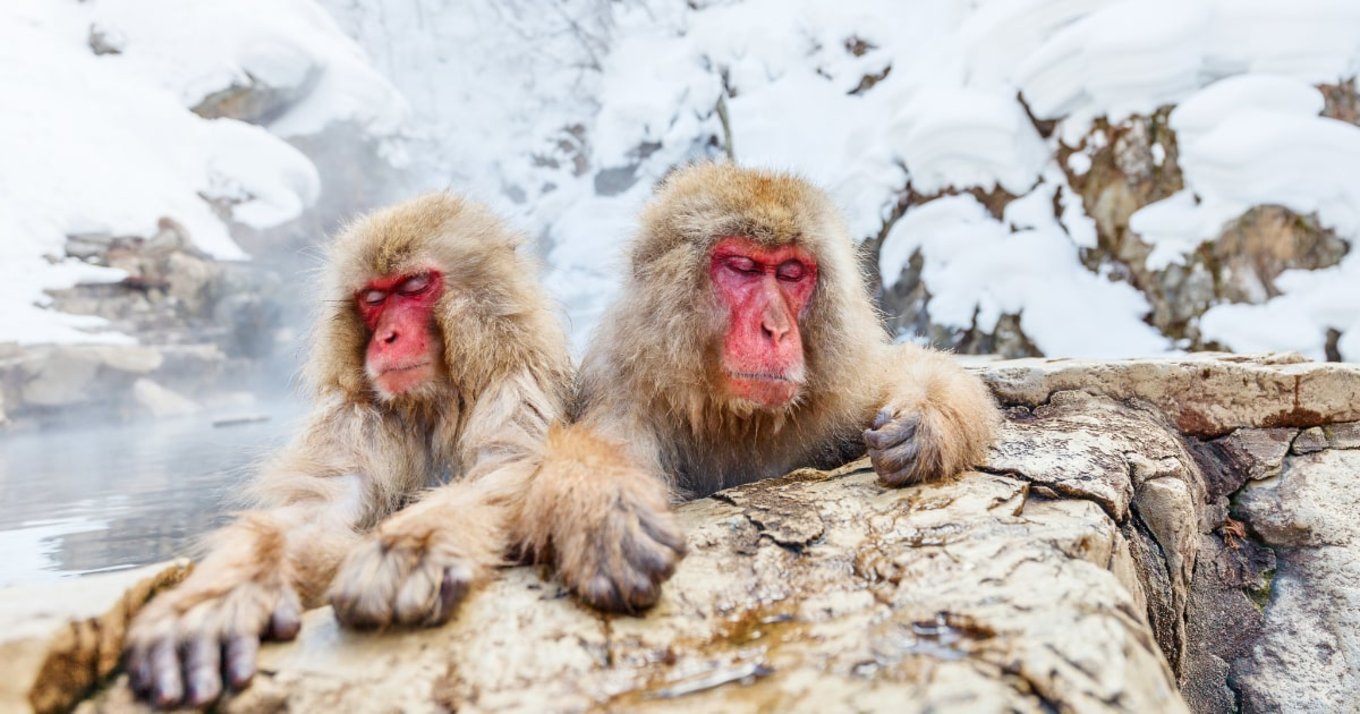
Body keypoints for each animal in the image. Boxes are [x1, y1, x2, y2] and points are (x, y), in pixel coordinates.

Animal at [124, 193, 571, 708]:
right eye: (373, 299)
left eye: (414, 286)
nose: (387, 338)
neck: (433, 402)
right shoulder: (356, 414)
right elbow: (320, 509)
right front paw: (218, 596)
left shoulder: (516, 384)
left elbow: (507, 469)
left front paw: (413, 547)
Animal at [518, 162, 999, 613]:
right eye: (743, 268)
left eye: (790, 272)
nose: (776, 329)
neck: (736, 416)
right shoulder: (626, 405)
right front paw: (605, 509)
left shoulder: (842, 393)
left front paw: (926, 419)